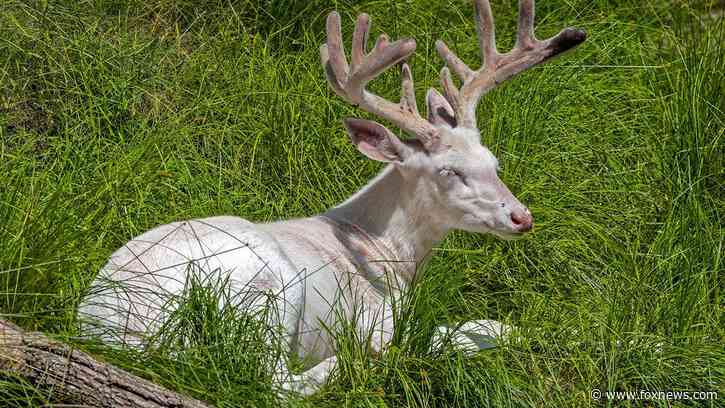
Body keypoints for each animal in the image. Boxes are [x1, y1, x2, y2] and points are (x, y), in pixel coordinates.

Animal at [78, 0, 585, 396]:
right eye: (449, 171)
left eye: (493, 161)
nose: (521, 217)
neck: (392, 253)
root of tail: (114, 330)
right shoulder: (379, 315)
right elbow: (462, 330)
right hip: (264, 290)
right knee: (273, 381)